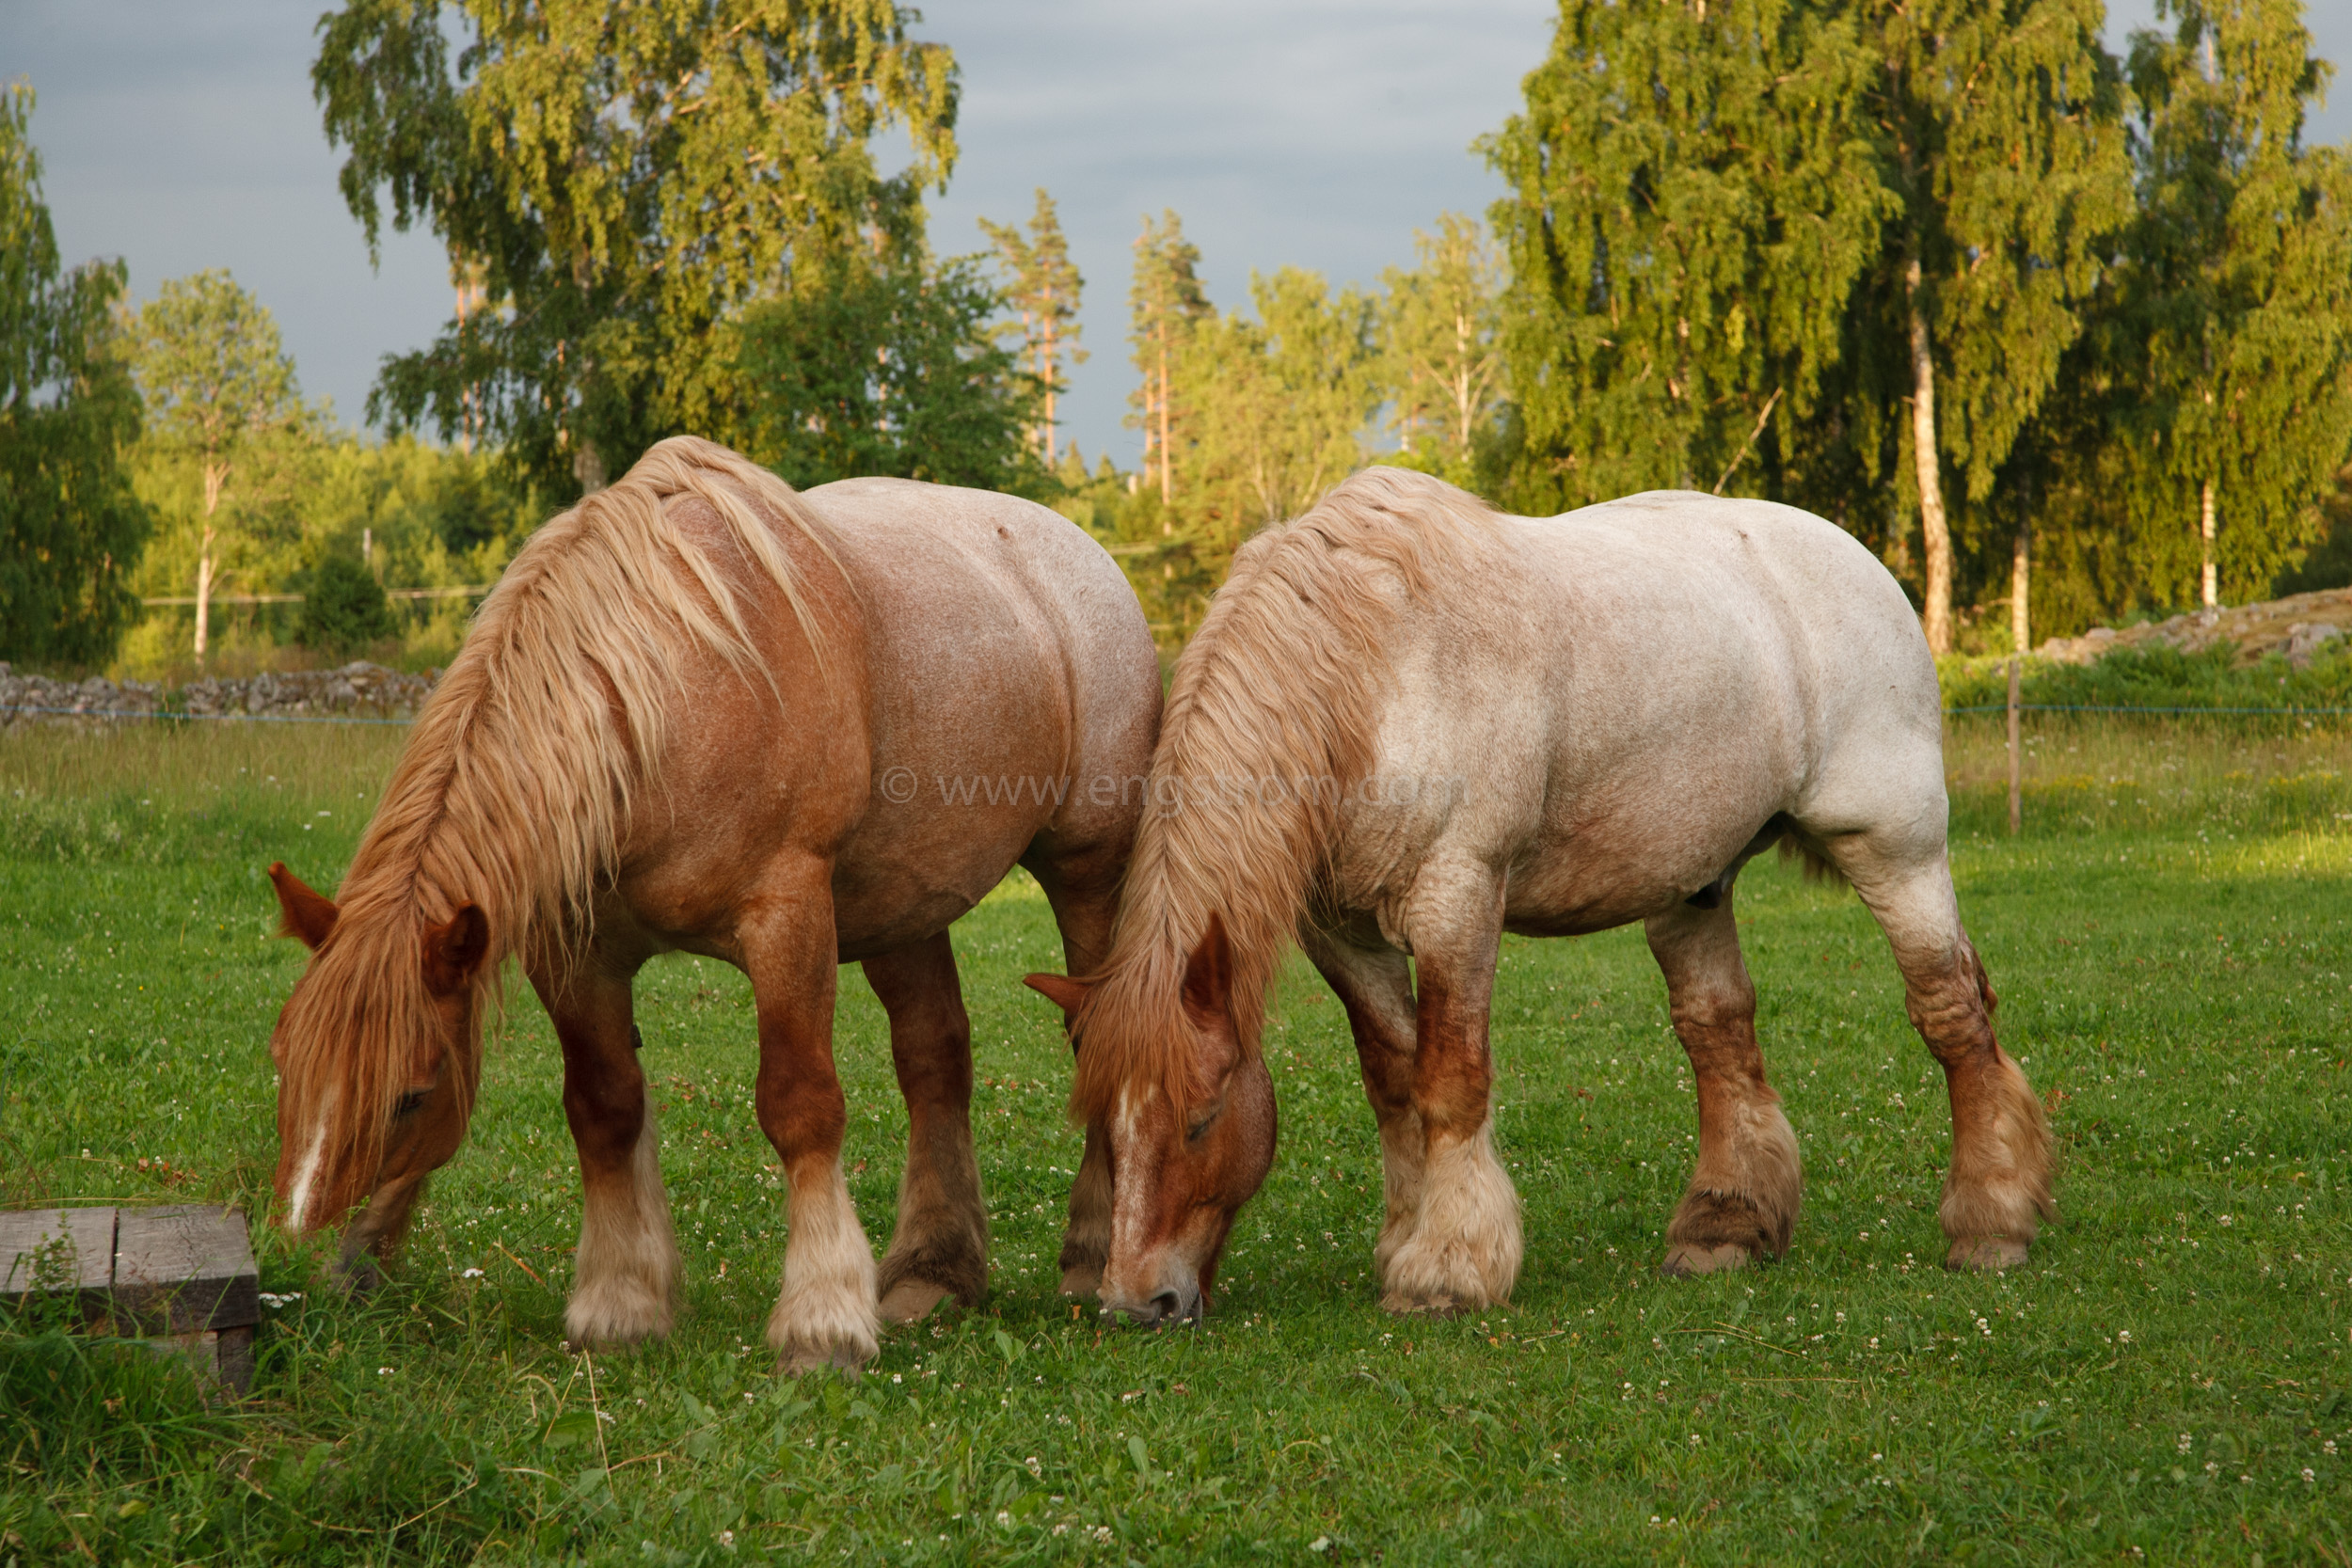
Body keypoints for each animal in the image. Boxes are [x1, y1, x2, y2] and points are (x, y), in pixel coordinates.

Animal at [266, 435, 1157, 1363]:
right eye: (284, 1061)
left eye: (412, 1093)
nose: (315, 1265)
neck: (665, 699)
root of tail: (1076, 549)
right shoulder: (577, 955)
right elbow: (605, 1107)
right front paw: (621, 1300)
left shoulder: (786, 919)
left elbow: (800, 1105)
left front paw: (822, 1318)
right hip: (904, 907)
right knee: (934, 1058)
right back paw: (933, 1272)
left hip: (1087, 868)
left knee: (1098, 1032)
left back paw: (1092, 1254)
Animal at [1021, 463, 2051, 1325]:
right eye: (1102, 1128)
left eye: (1199, 1119)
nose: (1134, 1301)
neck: (1369, 674)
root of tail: (1856, 560)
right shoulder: (1343, 934)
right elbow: (1392, 1082)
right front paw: (1404, 1237)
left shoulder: (1455, 899)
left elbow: (1448, 1081)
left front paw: (1448, 1264)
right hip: (1693, 883)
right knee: (1719, 1035)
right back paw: (1724, 1225)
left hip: (1895, 847)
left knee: (1951, 1013)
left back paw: (1992, 1220)